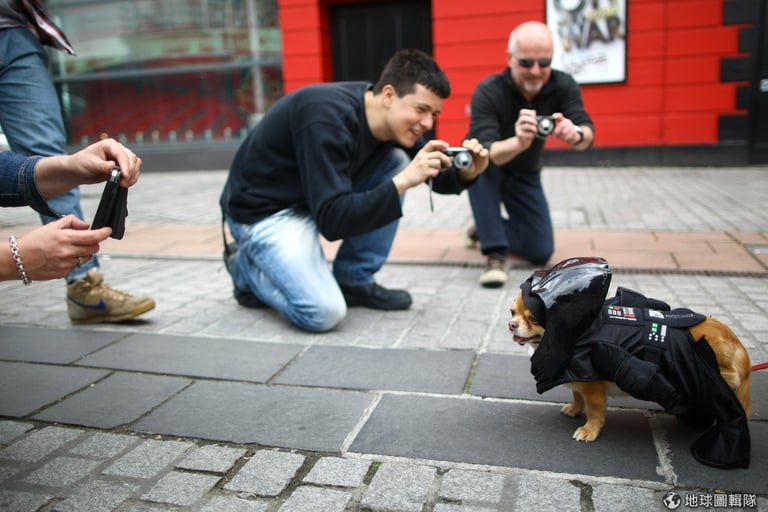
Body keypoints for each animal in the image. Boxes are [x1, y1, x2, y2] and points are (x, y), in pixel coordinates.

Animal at [509, 291, 752, 442]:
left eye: (533, 319)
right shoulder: (579, 381)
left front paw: (589, 431)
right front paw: (574, 409)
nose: (511, 324)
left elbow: (595, 412)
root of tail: (737, 344)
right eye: (512, 313)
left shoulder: (594, 389)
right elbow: (577, 396)